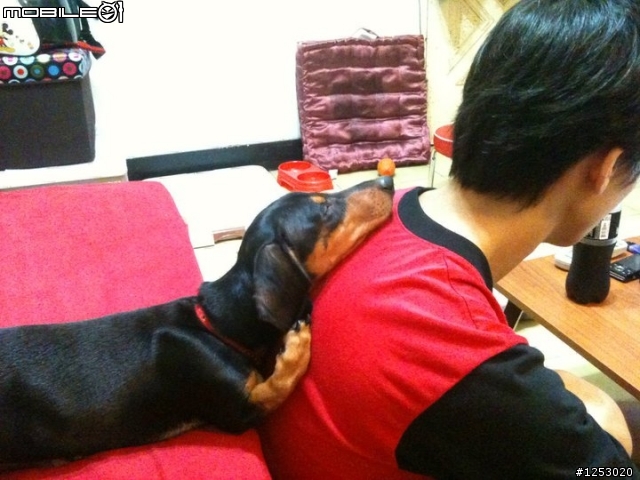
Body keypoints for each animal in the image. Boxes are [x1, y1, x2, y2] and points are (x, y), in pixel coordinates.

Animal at [0, 176, 394, 470]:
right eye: (325, 209)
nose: (388, 180)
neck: (214, 325)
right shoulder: (239, 411)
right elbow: (283, 380)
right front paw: (297, 346)